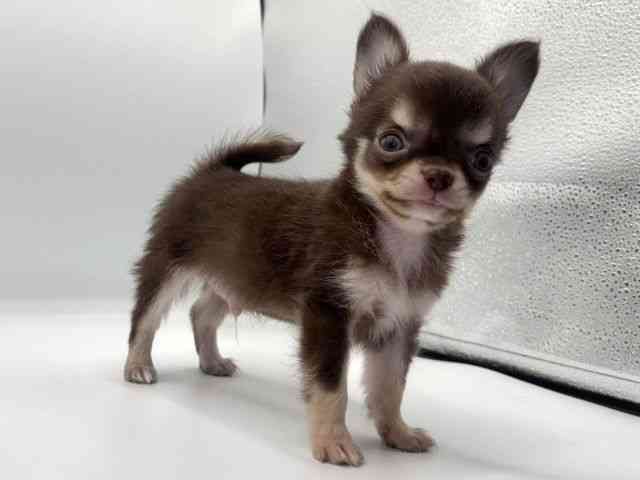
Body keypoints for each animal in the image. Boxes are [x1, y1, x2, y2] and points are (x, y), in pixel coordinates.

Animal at [124, 13, 539, 466]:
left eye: (481, 160)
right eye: (391, 141)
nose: (439, 175)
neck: (398, 237)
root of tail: (213, 170)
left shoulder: (399, 325)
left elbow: (390, 386)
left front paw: (398, 433)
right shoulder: (328, 314)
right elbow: (330, 388)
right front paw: (332, 442)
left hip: (233, 279)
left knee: (201, 312)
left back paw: (212, 362)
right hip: (167, 266)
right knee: (144, 319)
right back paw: (137, 366)